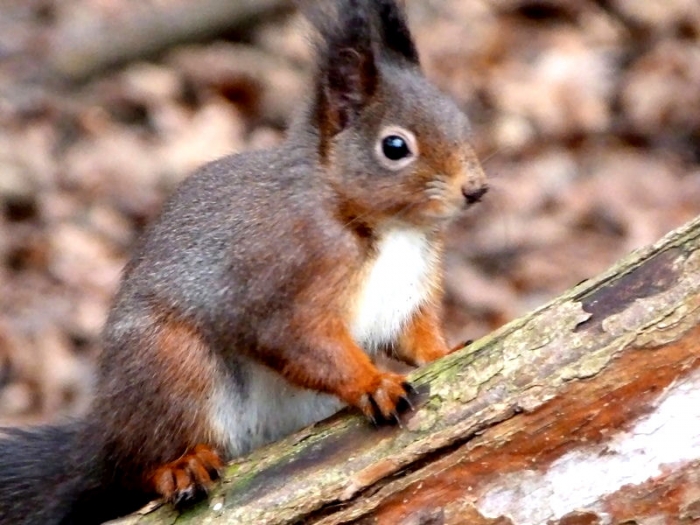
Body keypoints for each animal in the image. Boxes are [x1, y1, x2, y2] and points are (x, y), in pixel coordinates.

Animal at [0, 0, 487, 523]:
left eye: (458, 118)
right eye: (395, 147)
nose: (476, 188)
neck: (390, 228)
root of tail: (98, 442)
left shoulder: (409, 291)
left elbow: (414, 336)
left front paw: (447, 350)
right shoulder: (281, 281)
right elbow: (300, 342)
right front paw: (373, 383)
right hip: (169, 365)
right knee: (138, 464)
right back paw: (180, 466)